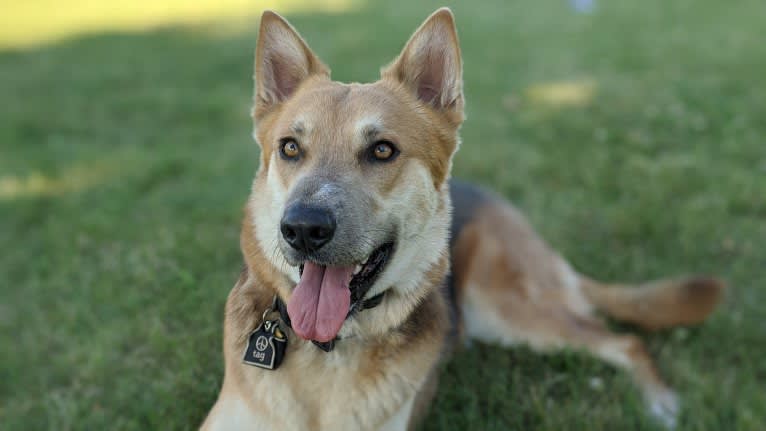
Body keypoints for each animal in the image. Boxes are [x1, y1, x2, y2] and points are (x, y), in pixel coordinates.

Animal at [202, 8, 728, 430]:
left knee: (626, 342)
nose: (303, 229)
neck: (327, 349)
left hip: (507, 308)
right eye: (290, 148)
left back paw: (661, 405)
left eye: (382, 150)